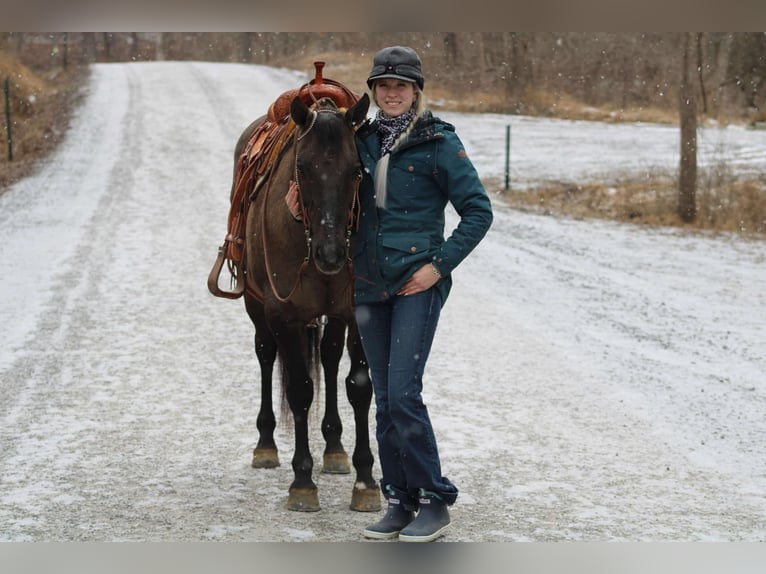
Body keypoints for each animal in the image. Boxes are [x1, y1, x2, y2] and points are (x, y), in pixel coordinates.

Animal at [230, 89, 382, 512]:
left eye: (356, 170)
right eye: (302, 167)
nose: (331, 255)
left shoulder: (357, 313)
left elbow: (359, 387)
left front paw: (366, 481)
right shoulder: (285, 316)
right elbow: (299, 390)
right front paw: (302, 481)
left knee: (329, 358)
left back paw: (334, 446)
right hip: (256, 306)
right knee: (266, 355)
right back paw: (266, 443)